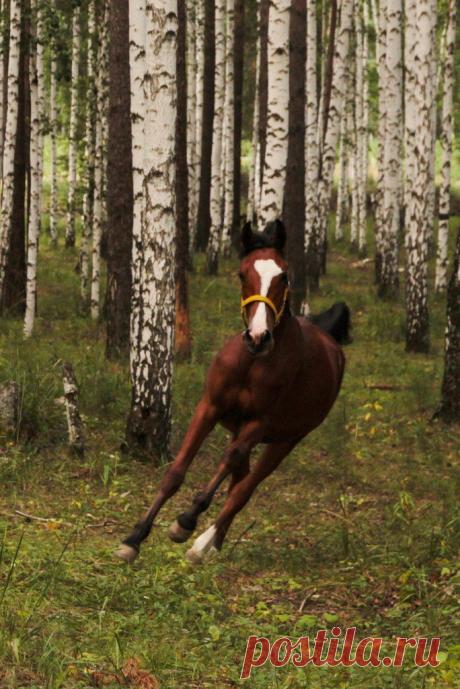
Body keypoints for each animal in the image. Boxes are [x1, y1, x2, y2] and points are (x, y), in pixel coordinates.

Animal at [117, 220, 349, 565]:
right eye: (242, 274)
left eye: (284, 275)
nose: (258, 337)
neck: (252, 363)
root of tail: (329, 339)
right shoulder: (209, 407)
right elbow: (176, 472)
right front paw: (134, 538)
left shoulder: (259, 424)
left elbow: (228, 464)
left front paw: (184, 522)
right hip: (242, 429)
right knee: (240, 479)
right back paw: (215, 542)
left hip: (286, 440)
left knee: (244, 489)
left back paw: (202, 544)